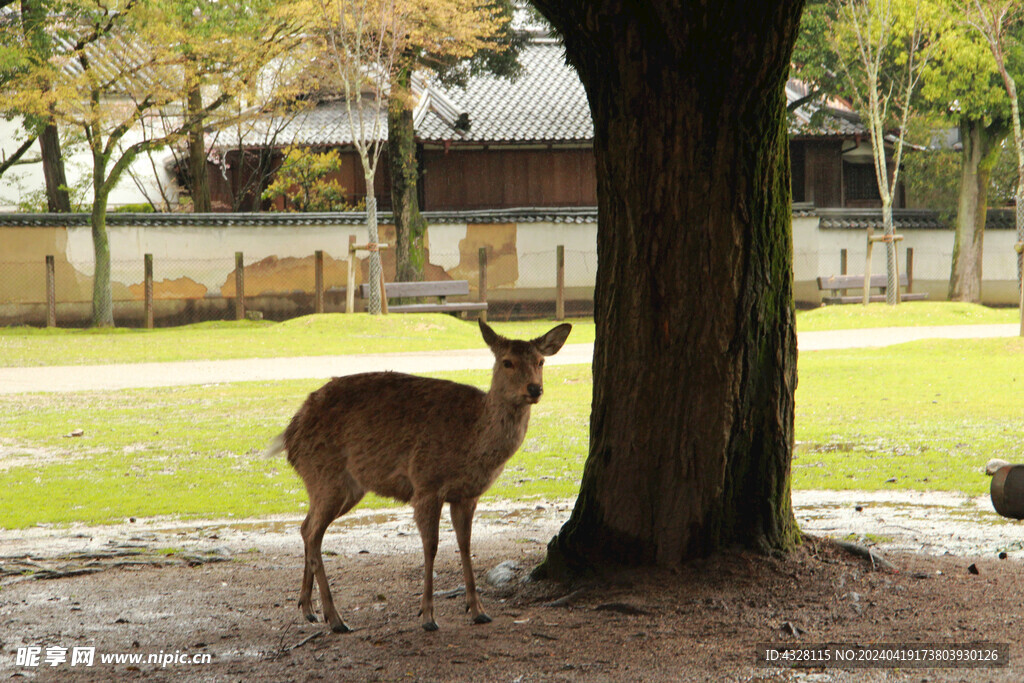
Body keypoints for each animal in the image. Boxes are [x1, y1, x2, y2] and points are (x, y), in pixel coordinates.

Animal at [260, 317, 573, 634]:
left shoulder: (467, 495)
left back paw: (308, 608)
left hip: (340, 487)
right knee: (313, 533)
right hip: (327, 476)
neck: (473, 440)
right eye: (507, 362)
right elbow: (431, 546)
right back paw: (335, 618)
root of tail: (290, 434)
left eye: (541, 361)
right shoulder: (425, 484)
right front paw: (427, 616)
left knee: (306, 527)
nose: (534, 389)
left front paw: (478, 610)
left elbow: (465, 545)